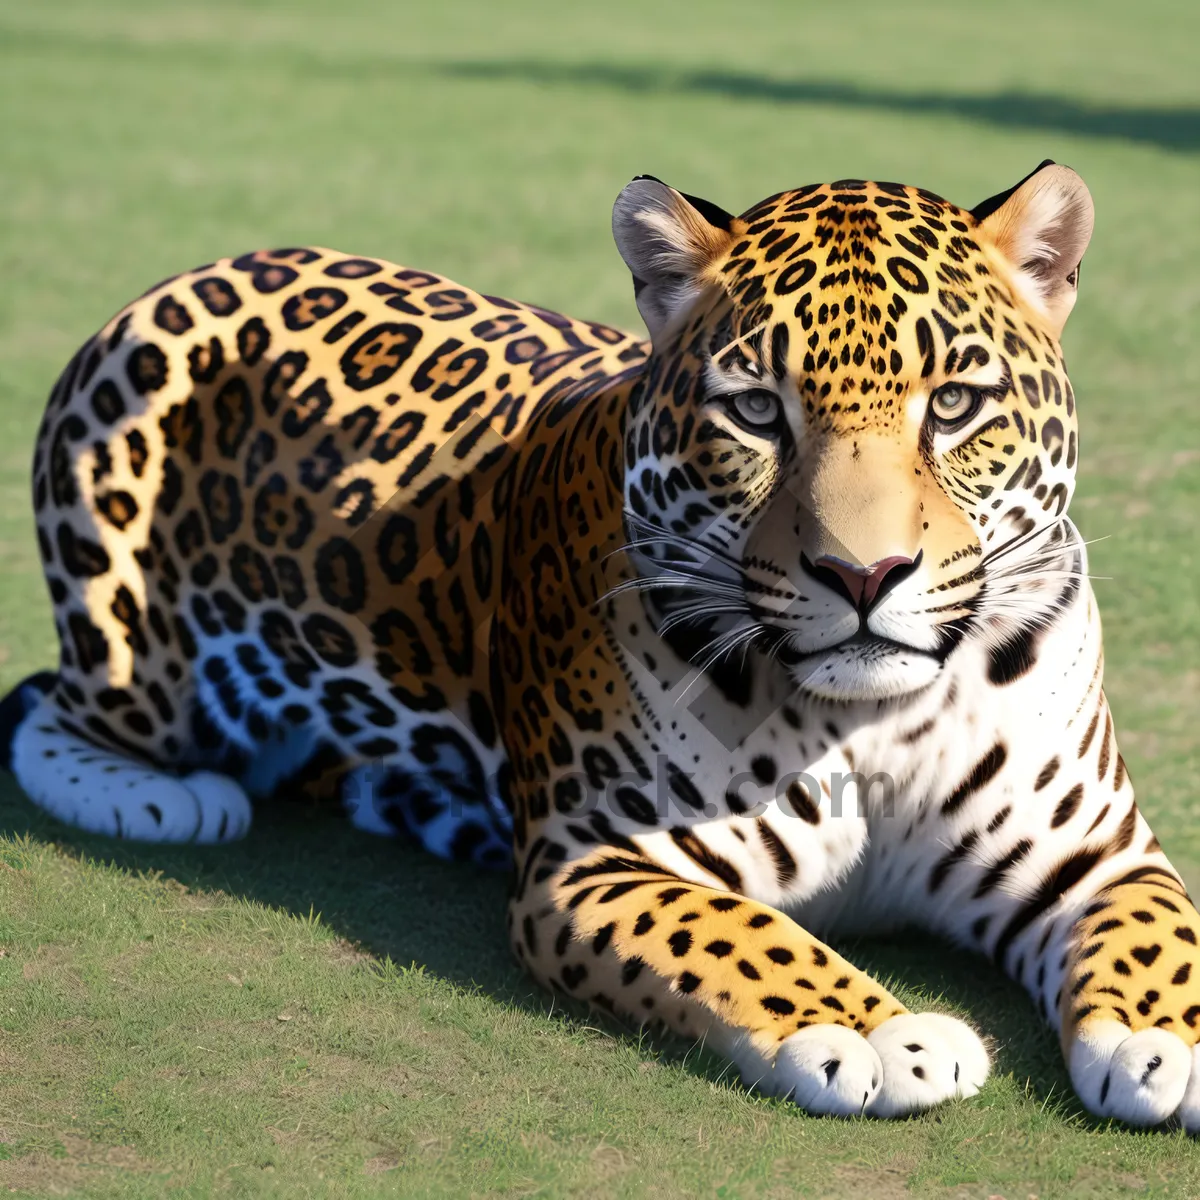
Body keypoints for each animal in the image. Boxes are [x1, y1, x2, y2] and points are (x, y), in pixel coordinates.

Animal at [2, 159, 1200, 1123]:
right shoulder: (600, 860)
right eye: (756, 413)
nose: (864, 577)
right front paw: (882, 1033)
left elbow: (1163, 930)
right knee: (53, 707)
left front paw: (1166, 1046)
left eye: (953, 405)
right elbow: (747, 941)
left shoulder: (1099, 854)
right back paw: (162, 797)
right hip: (127, 593)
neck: (874, 726)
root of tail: (200, 268)